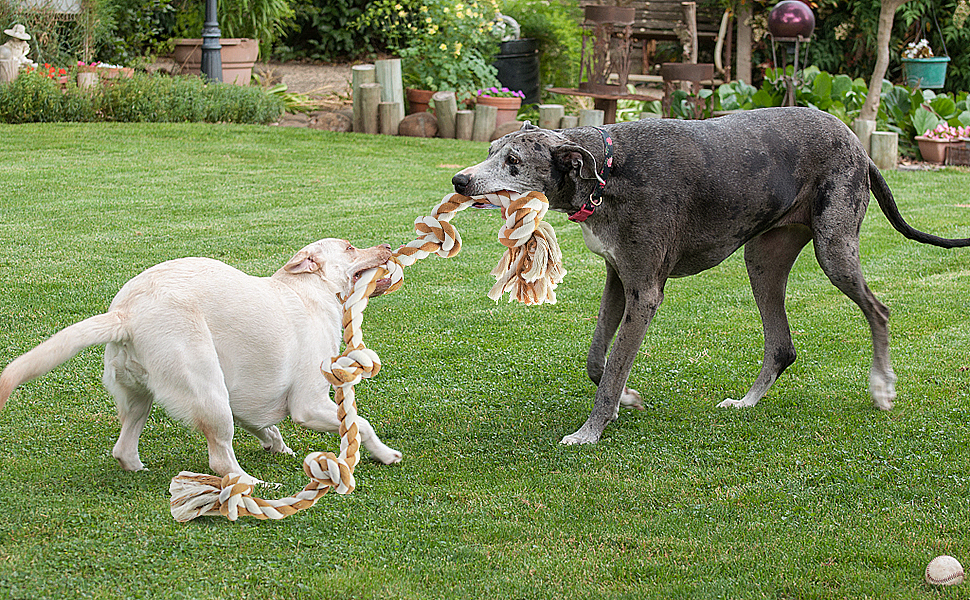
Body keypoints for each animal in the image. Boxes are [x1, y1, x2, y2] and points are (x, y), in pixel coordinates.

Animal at [0, 239, 400, 478]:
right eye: (350, 247)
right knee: (222, 460)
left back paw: (139, 469)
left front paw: (277, 446)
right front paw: (385, 454)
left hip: (142, 399)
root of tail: (126, 314)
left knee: (123, 448)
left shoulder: (245, 398)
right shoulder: (309, 404)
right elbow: (362, 425)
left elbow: (266, 426)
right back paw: (253, 485)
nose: (387, 245)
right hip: (209, 393)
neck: (310, 290)